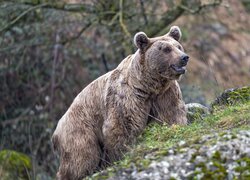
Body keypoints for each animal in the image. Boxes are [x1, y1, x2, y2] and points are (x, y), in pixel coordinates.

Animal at [51, 25, 188, 180]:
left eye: (178, 46)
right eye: (166, 49)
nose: (184, 57)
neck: (149, 85)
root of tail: (56, 130)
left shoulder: (165, 94)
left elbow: (171, 115)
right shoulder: (127, 97)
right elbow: (122, 126)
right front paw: (122, 154)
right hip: (80, 129)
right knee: (82, 156)